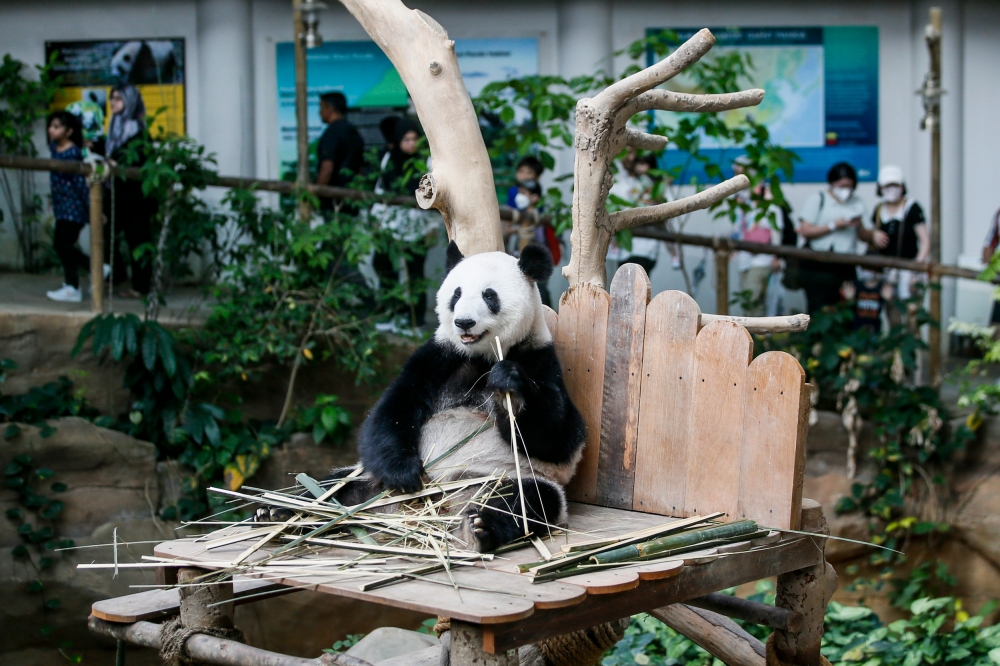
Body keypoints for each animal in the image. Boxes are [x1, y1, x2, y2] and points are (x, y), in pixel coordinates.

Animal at [262, 240, 584, 548]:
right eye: (456, 293)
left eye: (489, 296)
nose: (463, 322)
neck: (482, 356)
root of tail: (437, 505)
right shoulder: (439, 357)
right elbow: (393, 409)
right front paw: (405, 473)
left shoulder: (540, 358)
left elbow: (561, 439)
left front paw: (509, 385)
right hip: (366, 477)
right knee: (331, 488)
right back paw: (280, 511)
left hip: (501, 477)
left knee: (525, 500)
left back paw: (479, 528)